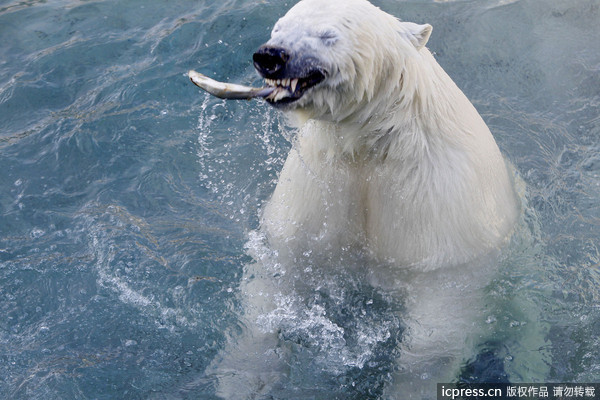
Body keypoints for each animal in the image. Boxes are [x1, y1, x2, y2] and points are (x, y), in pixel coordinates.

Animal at [203, 0, 520, 398]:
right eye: (279, 27)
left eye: (328, 35)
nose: (270, 56)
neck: (376, 139)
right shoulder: (321, 180)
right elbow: (281, 270)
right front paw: (245, 376)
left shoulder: (443, 209)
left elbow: (436, 337)